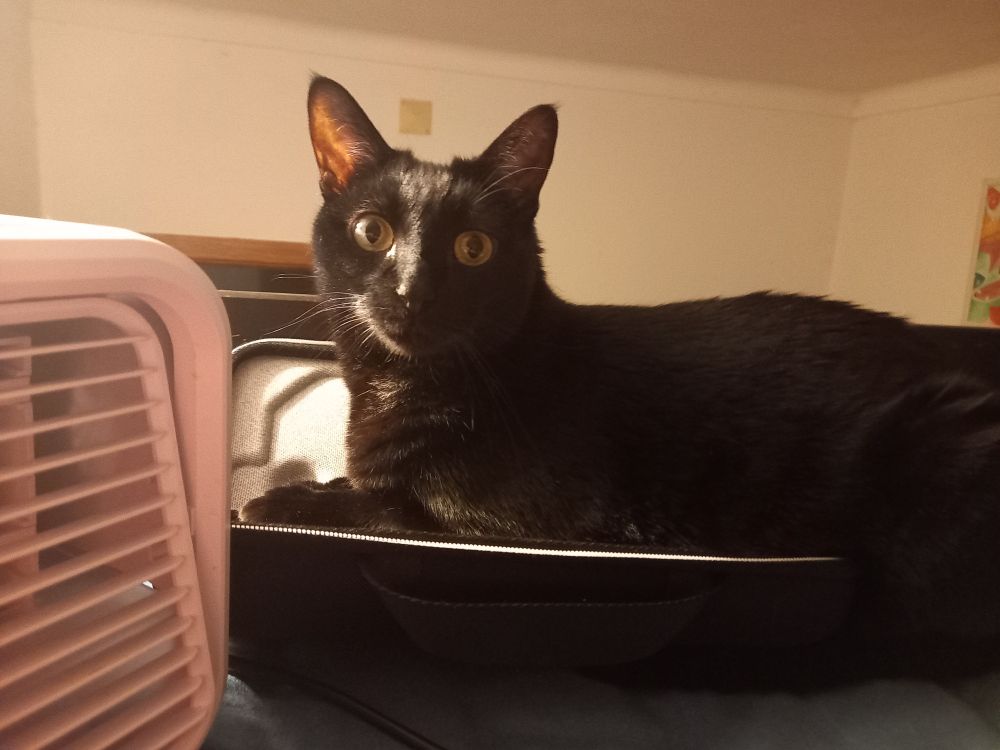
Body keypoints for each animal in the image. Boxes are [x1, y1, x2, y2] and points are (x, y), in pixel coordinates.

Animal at [240, 75, 1000, 640]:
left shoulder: (525, 526)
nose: (412, 292)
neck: (403, 384)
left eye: (473, 248)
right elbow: (369, 487)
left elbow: (392, 509)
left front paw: (284, 500)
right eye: (373, 232)